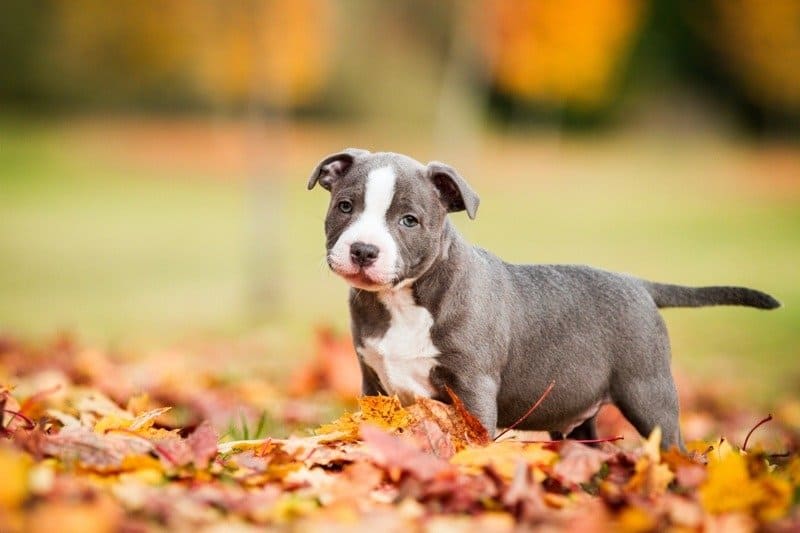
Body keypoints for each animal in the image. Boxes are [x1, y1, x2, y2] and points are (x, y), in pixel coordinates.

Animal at [304, 148, 776, 446]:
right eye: (345, 206)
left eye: (409, 220)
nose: (363, 250)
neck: (404, 301)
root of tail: (638, 284)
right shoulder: (373, 383)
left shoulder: (473, 387)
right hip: (584, 412)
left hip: (648, 390)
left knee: (672, 444)